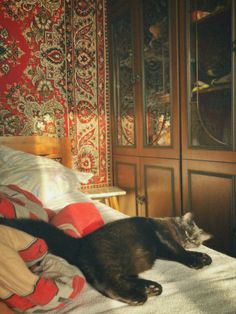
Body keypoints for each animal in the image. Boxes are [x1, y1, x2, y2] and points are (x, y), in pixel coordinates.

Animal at [0, 212, 212, 306]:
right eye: (186, 231)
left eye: (195, 239)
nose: (189, 240)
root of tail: (80, 243)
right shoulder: (164, 239)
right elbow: (180, 252)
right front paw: (196, 260)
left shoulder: (164, 249)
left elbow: (183, 252)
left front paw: (203, 256)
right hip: (110, 260)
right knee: (108, 283)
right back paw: (139, 296)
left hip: (127, 266)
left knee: (124, 279)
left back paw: (151, 287)